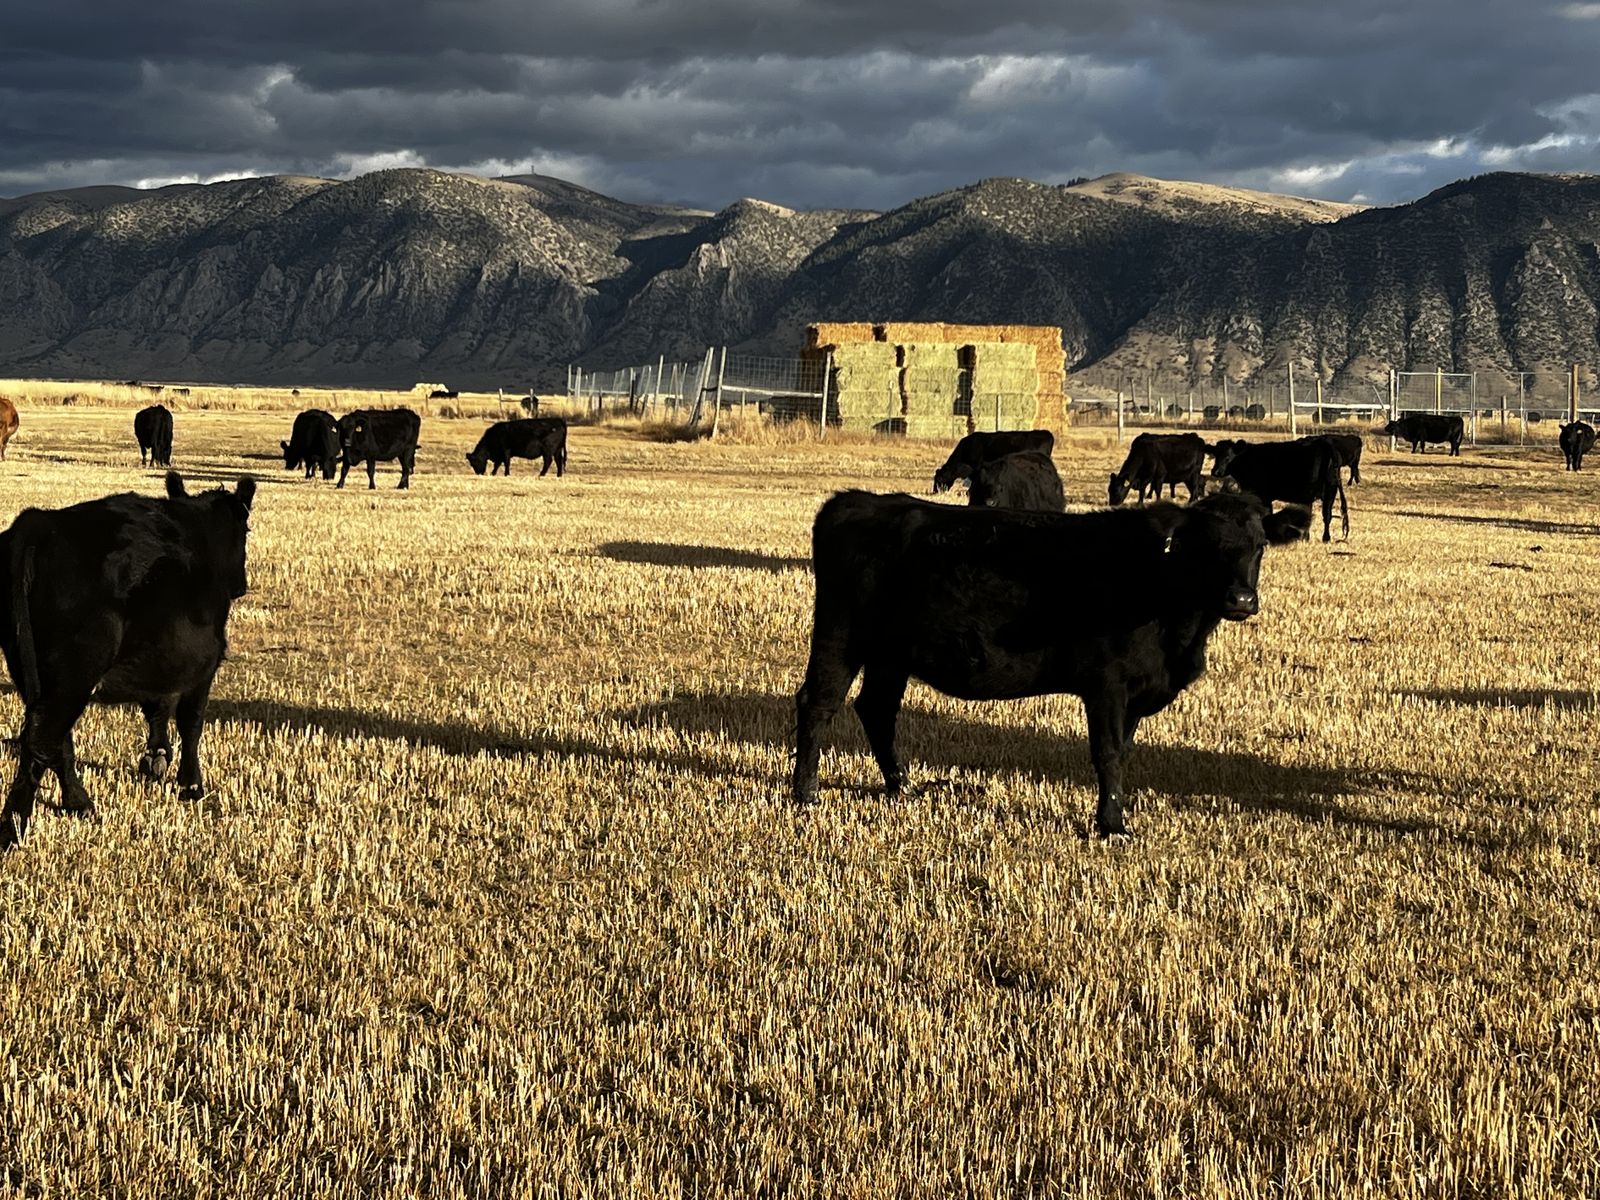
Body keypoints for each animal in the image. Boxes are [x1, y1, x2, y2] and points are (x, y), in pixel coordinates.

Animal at [0, 472, 255, 848]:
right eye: (247, 530)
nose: (241, 585)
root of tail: (39, 521)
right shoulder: (206, 661)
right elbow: (191, 720)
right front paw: (191, 784)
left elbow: (158, 706)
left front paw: (156, 758)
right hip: (76, 669)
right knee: (42, 735)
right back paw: (14, 828)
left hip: (28, 664)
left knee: (55, 737)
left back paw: (79, 803)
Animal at [792, 489, 1307, 837]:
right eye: (1204, 545)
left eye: (1259, 545)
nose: (1241, 600)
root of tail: (856, 501)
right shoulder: (1106, 684)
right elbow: (1107, 753)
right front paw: (1112, 825)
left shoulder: (1136, 693)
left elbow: (1124, 751)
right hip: (840, 635)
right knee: (818, 703)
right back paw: (806, 794)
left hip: (891, 654)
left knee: (877, 709)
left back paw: (902, 787)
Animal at [1211, 438, 1349, 542]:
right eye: (1215, 456)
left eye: (1228, 457)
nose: (1215, 471)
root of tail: (1324, 443)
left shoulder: (1262, 495)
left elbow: (1266, 513)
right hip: (1330, 490)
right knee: (1324, 515)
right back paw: (1311, 538)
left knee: (1324, 514)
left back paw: (1322, 538)